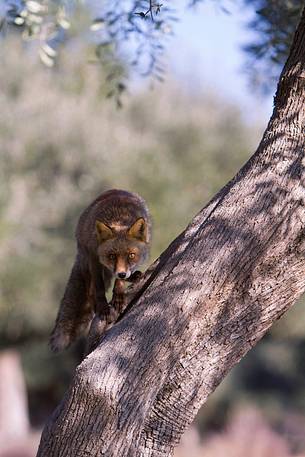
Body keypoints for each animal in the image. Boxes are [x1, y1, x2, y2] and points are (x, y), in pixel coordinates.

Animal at [49, 189, 152, 352]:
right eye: (112, 256)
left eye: (131, 255)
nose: (122, 273)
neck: (118, 218)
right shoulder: (94, 256)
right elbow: (98, 288)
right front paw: (103, 307)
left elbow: (119, 282)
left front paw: (118, 295)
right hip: (89, 261)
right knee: (90, 291)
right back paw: (97, 305)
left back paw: (133, 277)